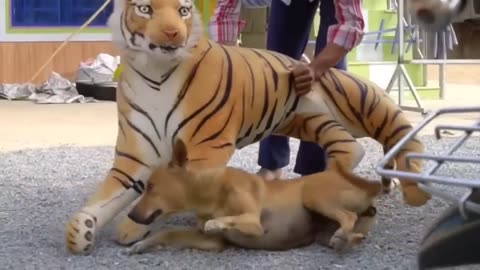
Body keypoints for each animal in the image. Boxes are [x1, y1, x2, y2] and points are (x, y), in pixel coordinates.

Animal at [125, 138, 380, 254]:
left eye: (151, 186)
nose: (130, 215)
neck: (211, 191)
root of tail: (366, 189)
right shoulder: (212, 242)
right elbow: (168, 233)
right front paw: (144, 243)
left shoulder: (253, 223)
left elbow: (223, 220)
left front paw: (215, 221)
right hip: (324, 234)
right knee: (347, 234)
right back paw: (346, 239)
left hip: (314, 195)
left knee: (348, 216)